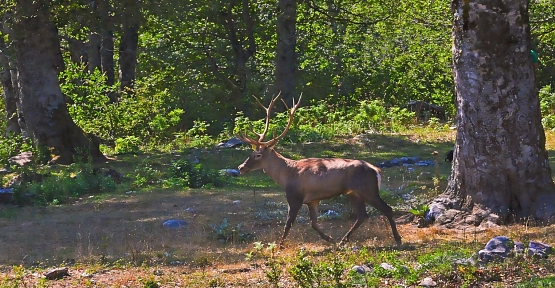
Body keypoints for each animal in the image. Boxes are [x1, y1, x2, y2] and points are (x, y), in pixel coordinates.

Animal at [237, 93, 402, 246]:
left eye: (258, 155)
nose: (241, 167)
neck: (286, 175)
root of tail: (377, 170)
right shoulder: (312, 200)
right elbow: (314, 223)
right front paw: (330, 239)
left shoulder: (295, 196)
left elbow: (288, 223)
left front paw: (280, 246)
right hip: (353, 192)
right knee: (362, 215)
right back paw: (343, 240)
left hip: (368, 189)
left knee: (387, 209)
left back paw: (397, 239)